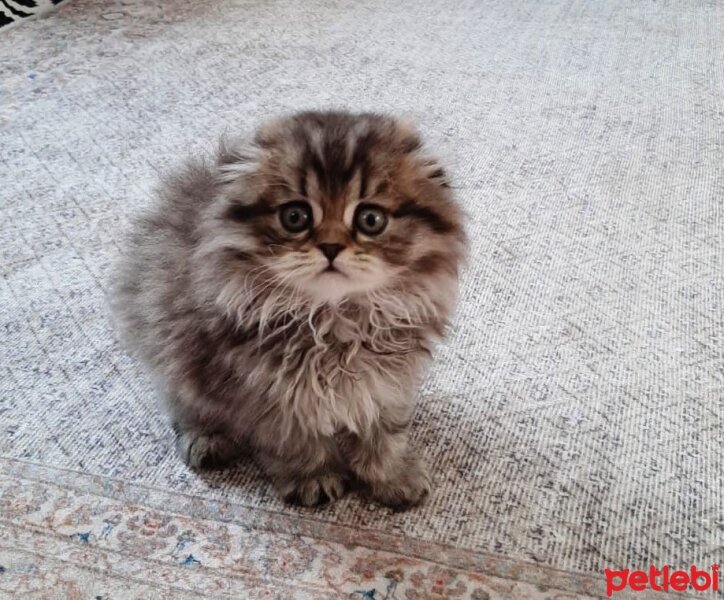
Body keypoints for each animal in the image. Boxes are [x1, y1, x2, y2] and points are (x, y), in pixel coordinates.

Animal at [111, 111, 464, 506]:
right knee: (184, 404)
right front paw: (315, 478)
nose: (330, 247)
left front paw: (392, 477)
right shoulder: (268, 391)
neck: (332, 320)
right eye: (295, 217)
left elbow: (384, 436)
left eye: (370, 220)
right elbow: (297, 442)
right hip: (170, 354)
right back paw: (206, 439)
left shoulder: (387, 382)